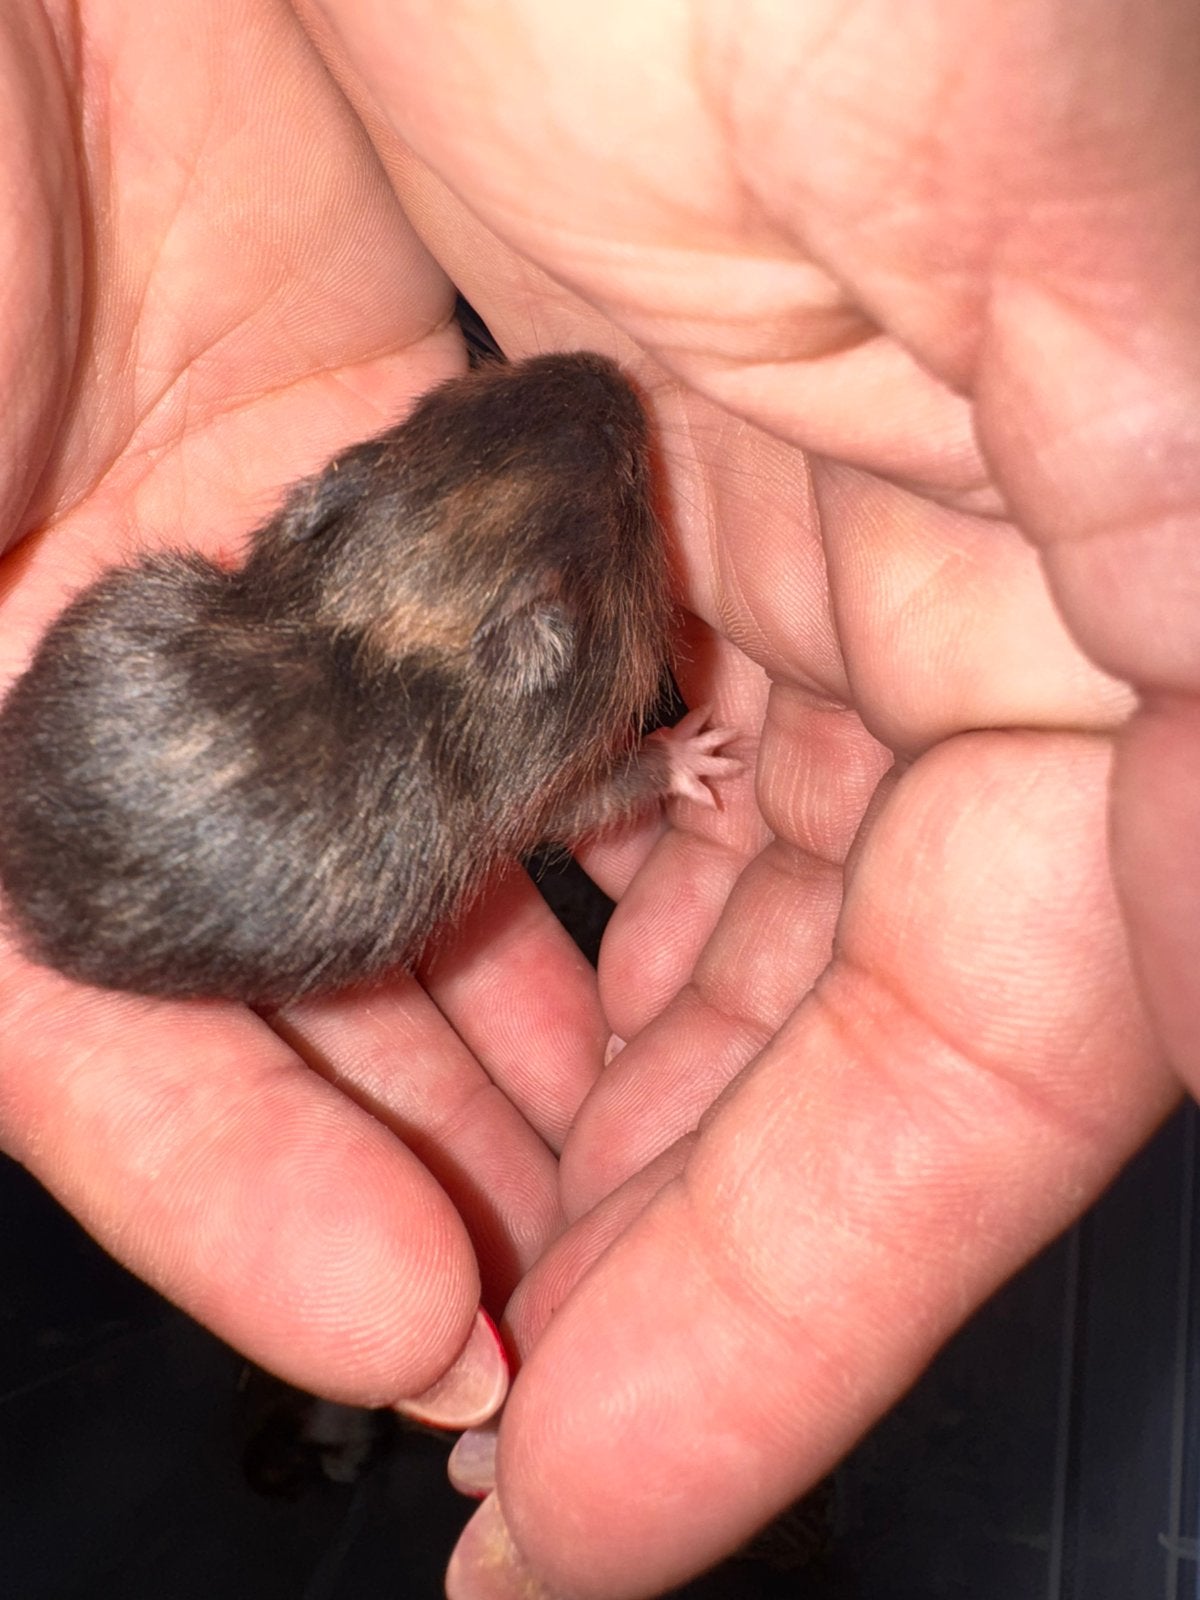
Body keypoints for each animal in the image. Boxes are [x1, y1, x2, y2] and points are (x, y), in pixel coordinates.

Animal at [0, 353, 735, 1004]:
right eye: (629, 484)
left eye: (440, 400)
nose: (608, 367)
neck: (378, 623)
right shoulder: (543, 786)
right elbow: (597, 798)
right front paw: (696, 752)